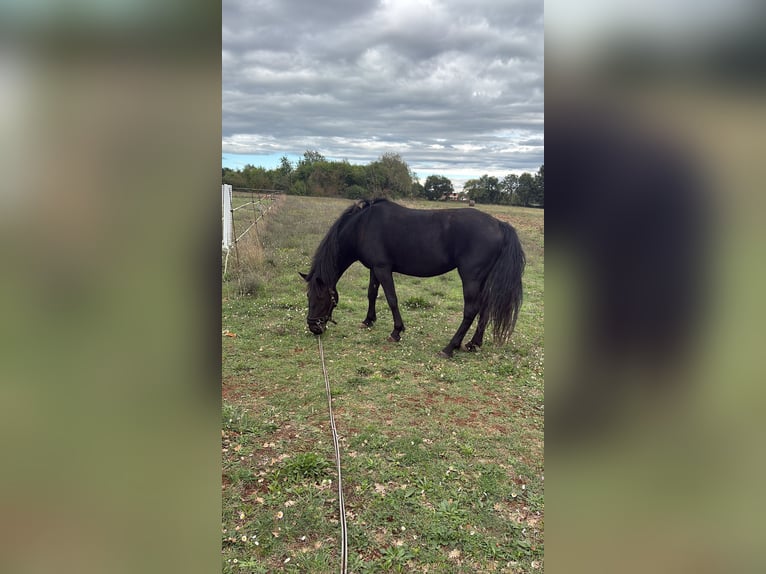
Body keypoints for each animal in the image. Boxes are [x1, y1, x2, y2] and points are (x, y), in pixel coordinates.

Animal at [300, 198, 525, 357]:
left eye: (319, 298)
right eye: (308, 297)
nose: (314, 327)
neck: (362, 226)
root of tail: (499, 224)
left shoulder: (383, 269)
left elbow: (391, 299)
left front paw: (396, 332)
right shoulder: (374, 269)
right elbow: (371, 294)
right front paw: (368, 321)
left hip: (471, 278)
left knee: (471, 310)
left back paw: (449, 348)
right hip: (482, 279)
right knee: (485, 308)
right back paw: (473, 344)